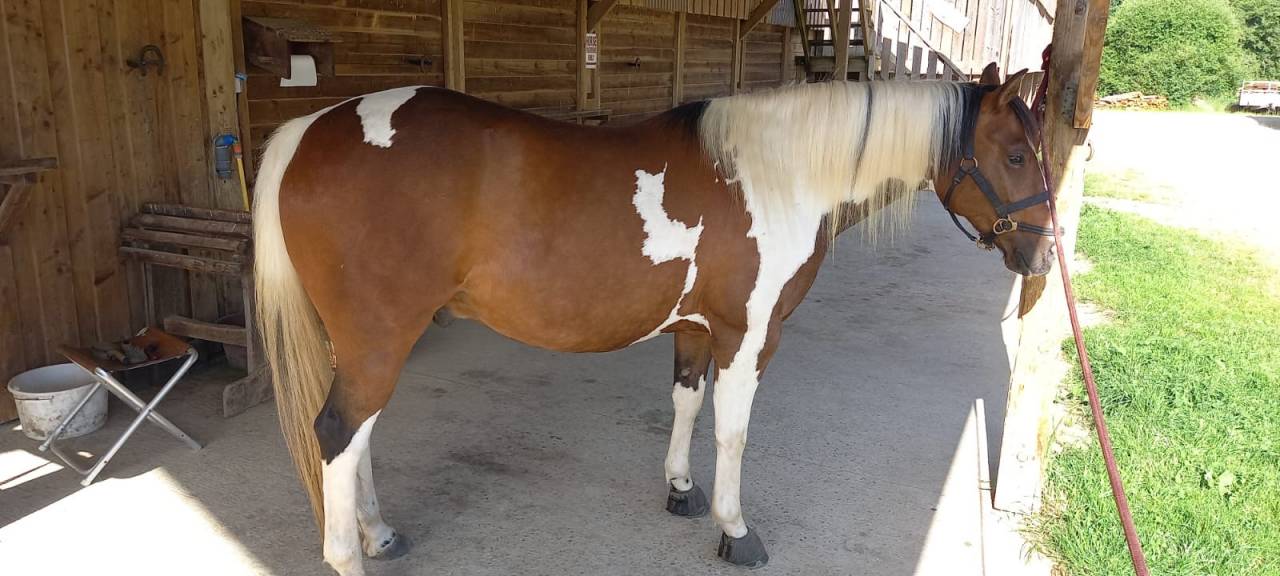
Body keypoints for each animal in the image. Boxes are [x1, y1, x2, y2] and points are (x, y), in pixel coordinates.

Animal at [252, 62, 1054, 575]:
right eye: (1016, 154)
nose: (1043, 255)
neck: (777, 174)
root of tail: (307, 130)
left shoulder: (698, 331)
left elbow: (686, 406)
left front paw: (680, 491)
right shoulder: (750, 337)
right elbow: (732, 432)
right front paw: (736, 529)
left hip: (364, 341)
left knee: (354, 439)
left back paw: (378, 533)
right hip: (380, 338)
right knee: (339, 432)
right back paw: (349, 553)